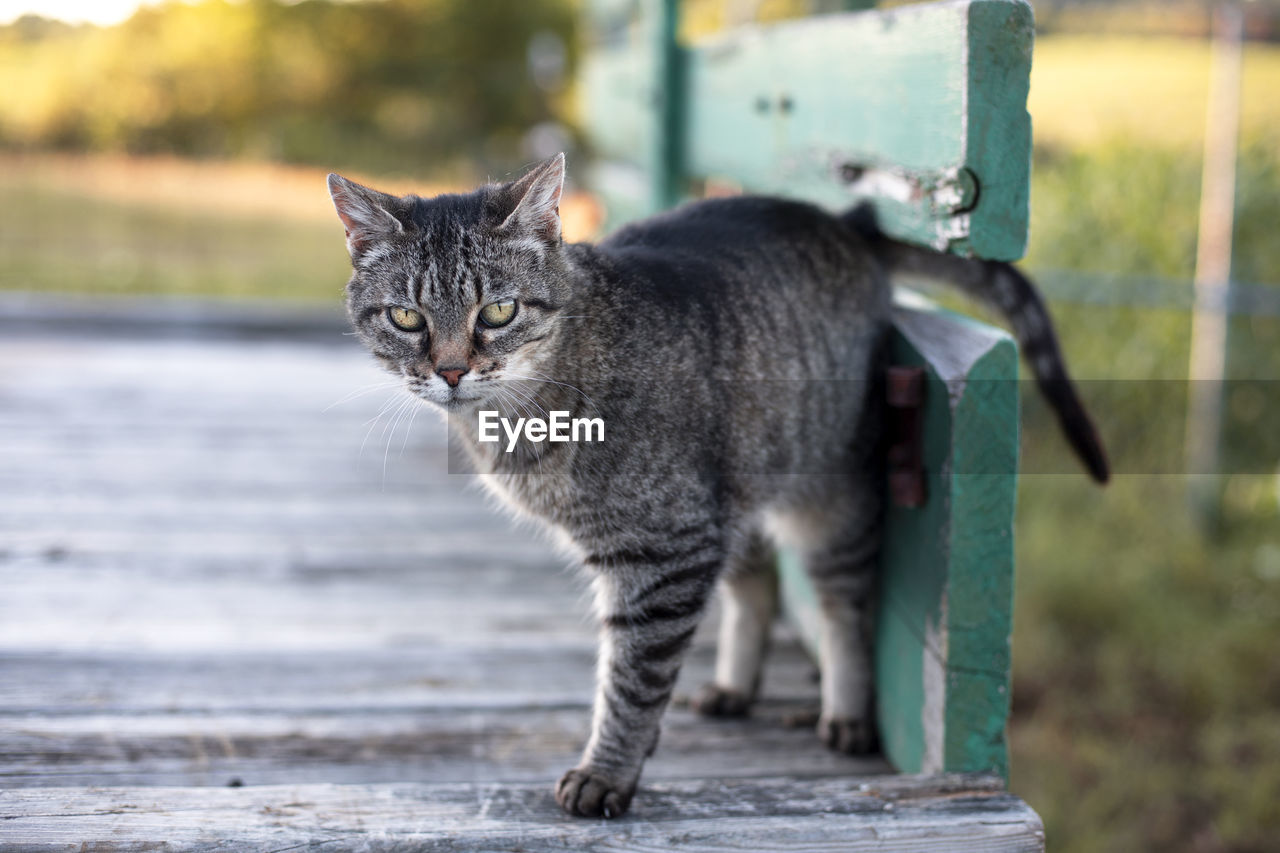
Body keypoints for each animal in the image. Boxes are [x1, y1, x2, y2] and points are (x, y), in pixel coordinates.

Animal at [325, 154, 1105, 819]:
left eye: (496, 313)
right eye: (407, 318)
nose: (452, 371)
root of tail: (849, 222)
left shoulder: (666, 550)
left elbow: (632, 680)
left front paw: (607, 772)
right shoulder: (683, 537)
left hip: (826, 503)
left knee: (844, 607)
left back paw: (846, 710)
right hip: (736, 489)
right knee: (756, 585)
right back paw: (736, 684)